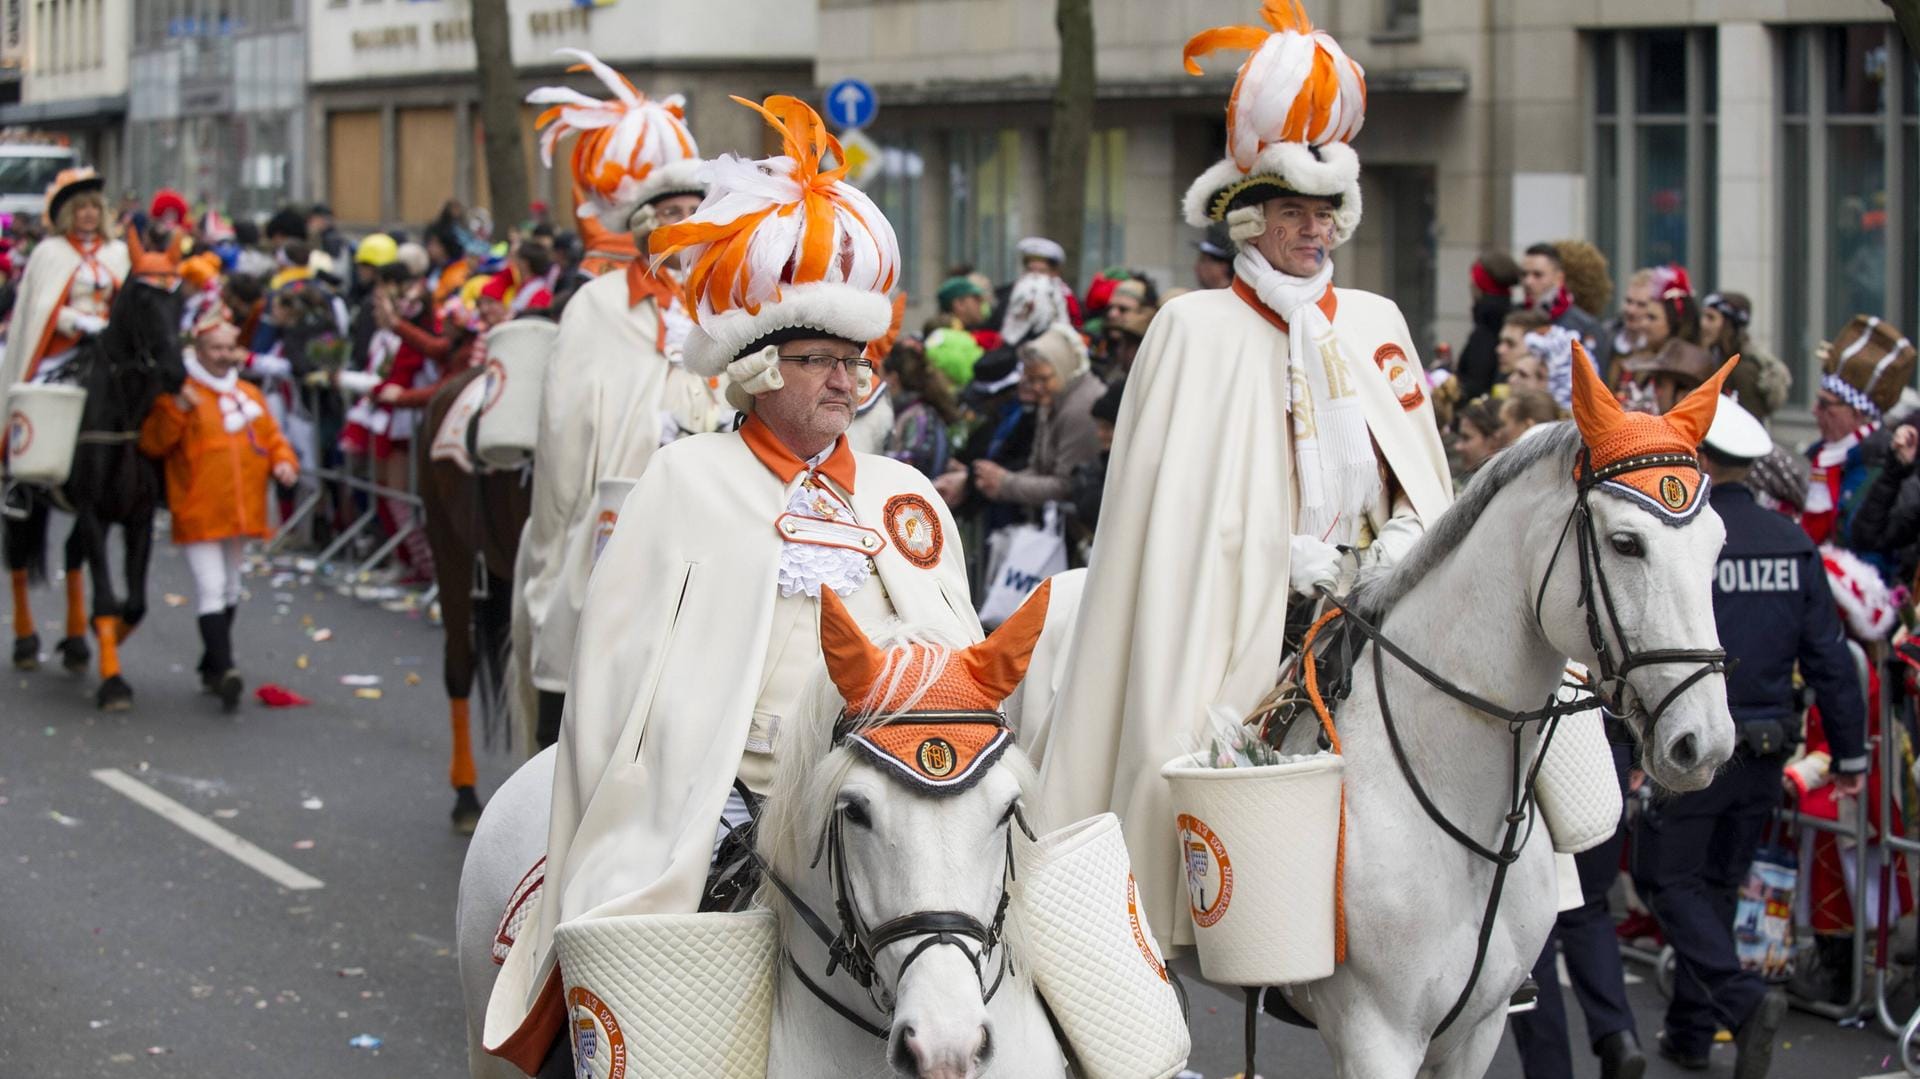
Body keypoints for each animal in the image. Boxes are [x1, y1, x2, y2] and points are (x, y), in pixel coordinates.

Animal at [6, 268, 187, 706]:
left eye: (179, 303)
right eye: (143, 302)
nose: (176, 374)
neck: (123, 415)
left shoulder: (136, 516)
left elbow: (135, 604)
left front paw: (109, 637)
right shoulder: (91, 509)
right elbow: (105, 598)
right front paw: (114, 684)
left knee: (71, 555)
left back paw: (75, 645)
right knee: (18, 556)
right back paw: (25, 645)